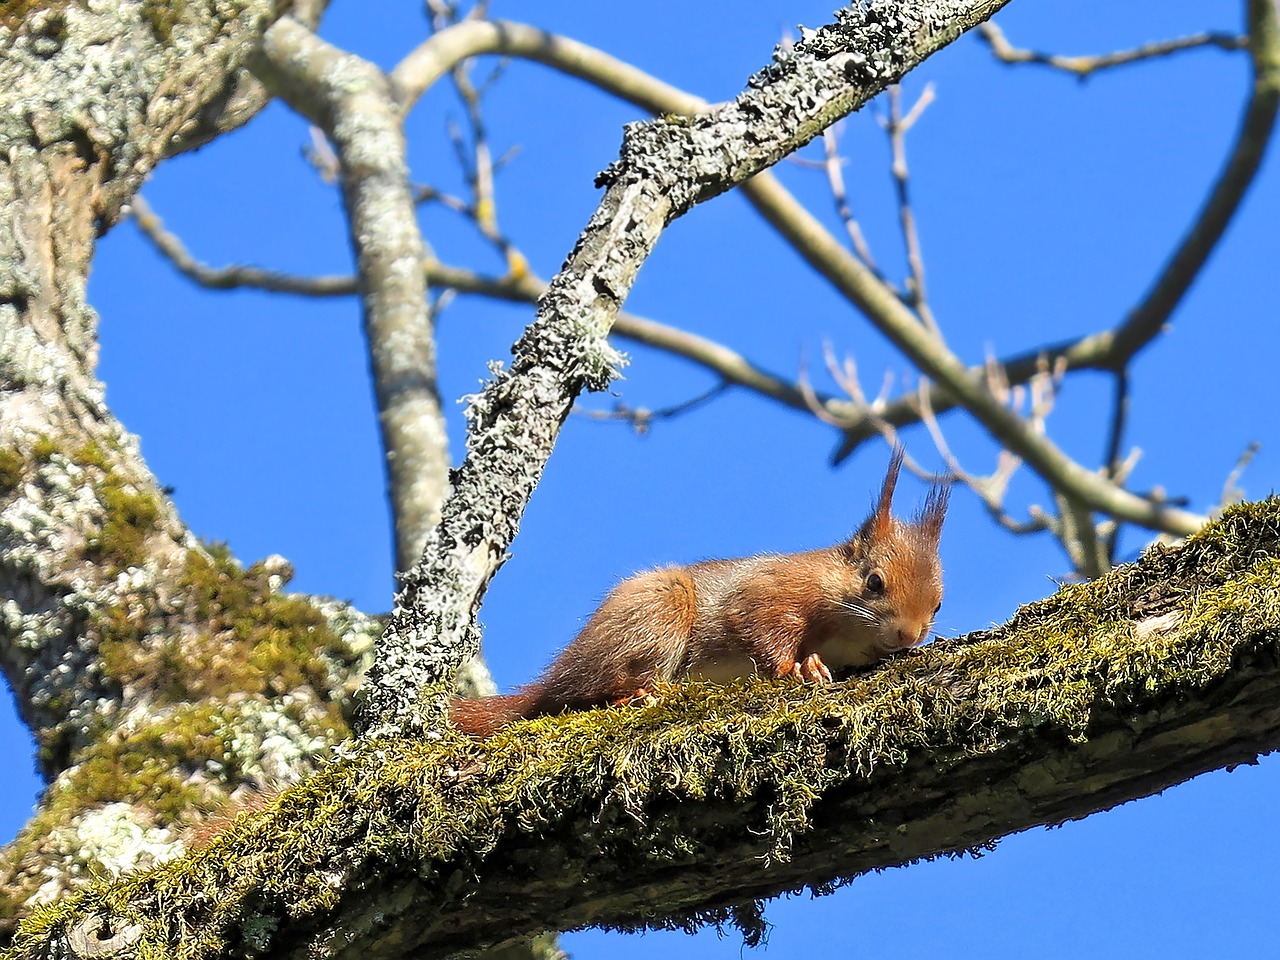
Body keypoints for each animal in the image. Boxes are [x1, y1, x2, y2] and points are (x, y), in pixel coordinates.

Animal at [453, 455, 952, 742]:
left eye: (938, 605)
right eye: (874, 582)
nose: (908, 635)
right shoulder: (772, 591)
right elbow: (760, 627)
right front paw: (800, 667)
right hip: (658, 611)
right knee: (593, 689)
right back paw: (640, 692)